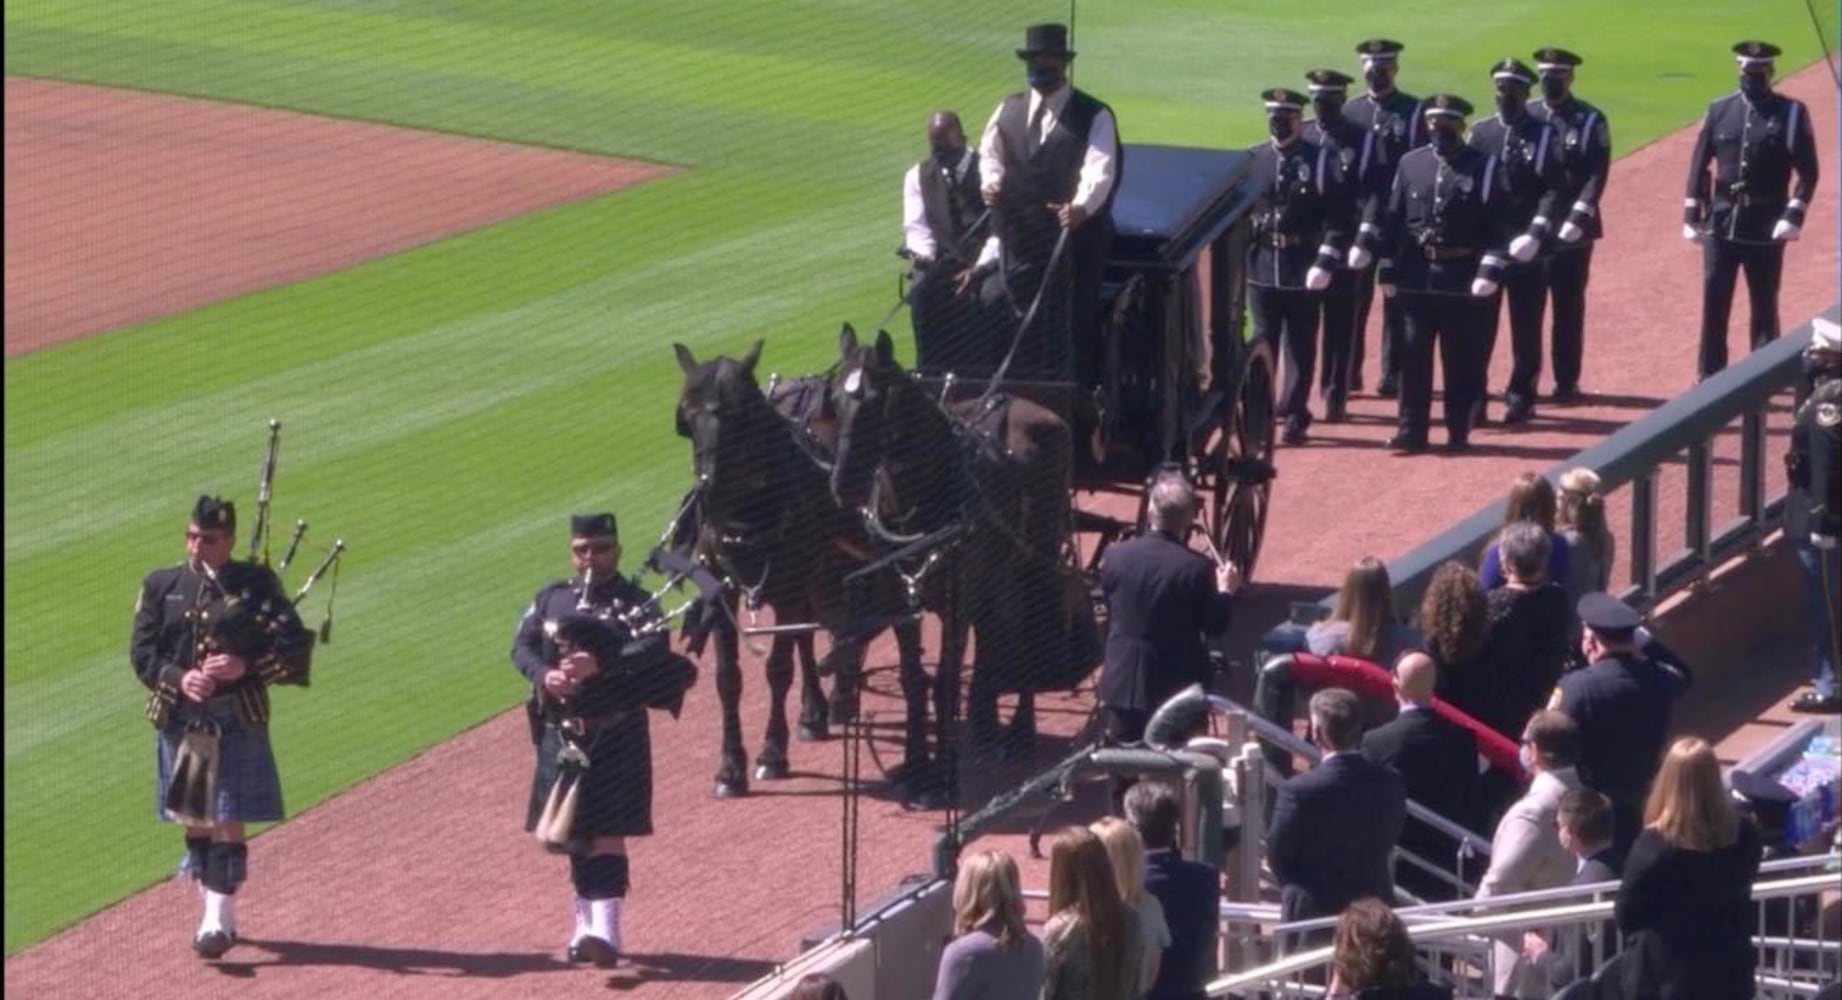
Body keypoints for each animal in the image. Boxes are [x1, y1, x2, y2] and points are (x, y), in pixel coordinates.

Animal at [674, 340, 943, 802]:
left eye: (739, 415)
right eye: (687, 420)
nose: (707, 494)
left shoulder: (793, 581)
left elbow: (778, 667)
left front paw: (770, 751)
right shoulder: (724, 590)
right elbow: (729, 678)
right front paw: (730, 767)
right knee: (821, 629)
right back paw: (820, 706)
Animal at [825, 325, 1090, 758]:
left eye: (877, 402)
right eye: (833, 399)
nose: (843, 484)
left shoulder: (957, 597)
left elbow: (945, 678)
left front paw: (941, 759)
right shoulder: (902, 601)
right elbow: (913, 678)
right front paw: (917, 759)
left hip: (1036, 552)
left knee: (1029, 621)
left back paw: (1020, 729)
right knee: (995, 627)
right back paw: (986, 720)